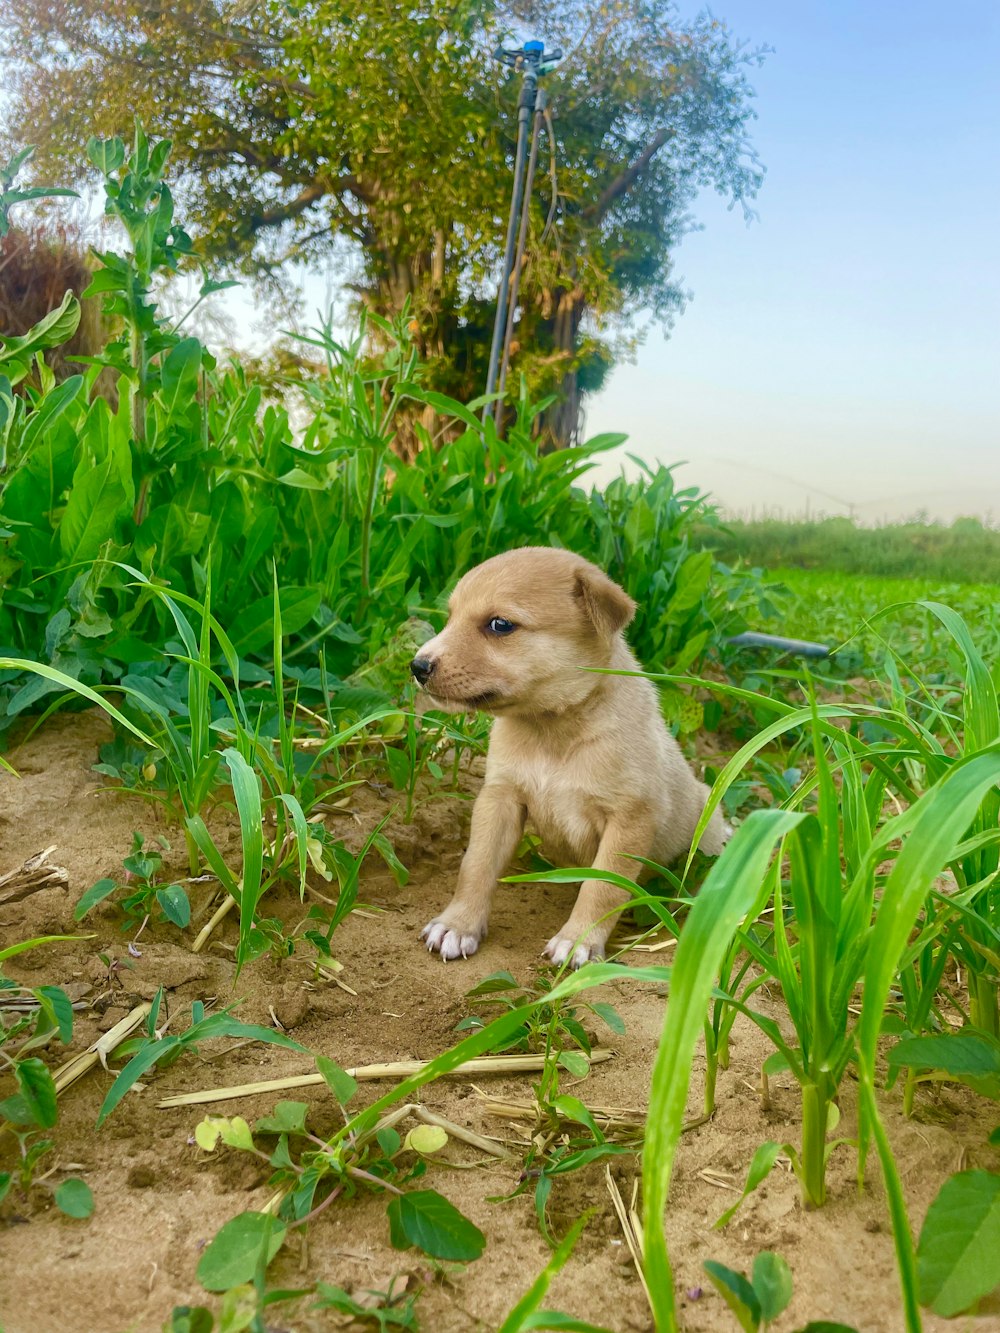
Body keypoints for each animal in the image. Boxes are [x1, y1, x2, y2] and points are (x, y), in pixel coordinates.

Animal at [408, 546, 730, 965]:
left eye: (500, 624)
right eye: (450, 617)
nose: (417, 666)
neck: (553, 732)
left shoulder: (630, 818)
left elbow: (603, 887)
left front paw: (579, 940)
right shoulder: (500, 798)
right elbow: (476, 865)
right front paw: (457, 924)